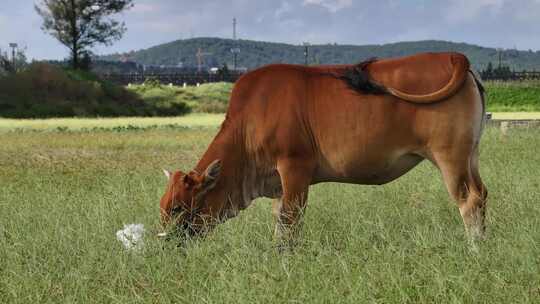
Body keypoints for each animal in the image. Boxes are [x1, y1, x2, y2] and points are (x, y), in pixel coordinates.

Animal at [160, 52, 490, 247]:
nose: (165, 243)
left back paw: (474, 249)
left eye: (177, 207)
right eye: (163, 207)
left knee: (469, 200)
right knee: (482, 194)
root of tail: (453, 56)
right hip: (470, 155)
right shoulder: (278, 184)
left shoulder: (294, 168)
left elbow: (290, 221)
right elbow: (280, 222)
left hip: (449, 157)